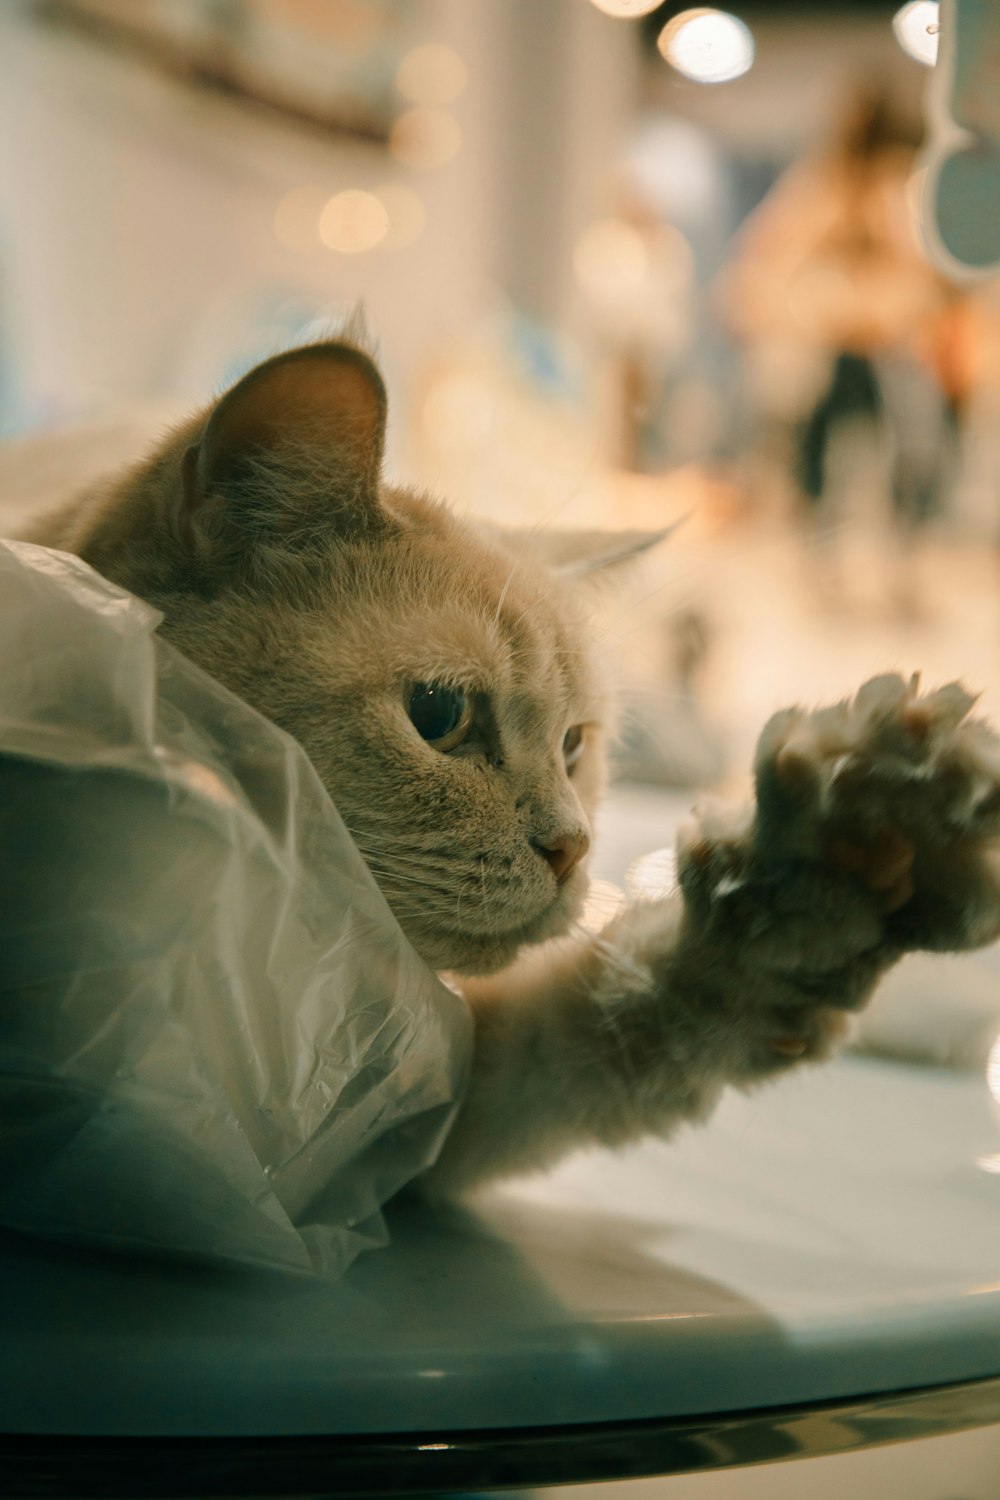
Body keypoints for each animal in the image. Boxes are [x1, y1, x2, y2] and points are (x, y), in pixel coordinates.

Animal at [19, 340, 1000, 1194]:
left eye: (573, 746)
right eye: (439, 717)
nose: (573, 849)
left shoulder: (393, 1125)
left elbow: (603, 1022)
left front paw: (818, 879)